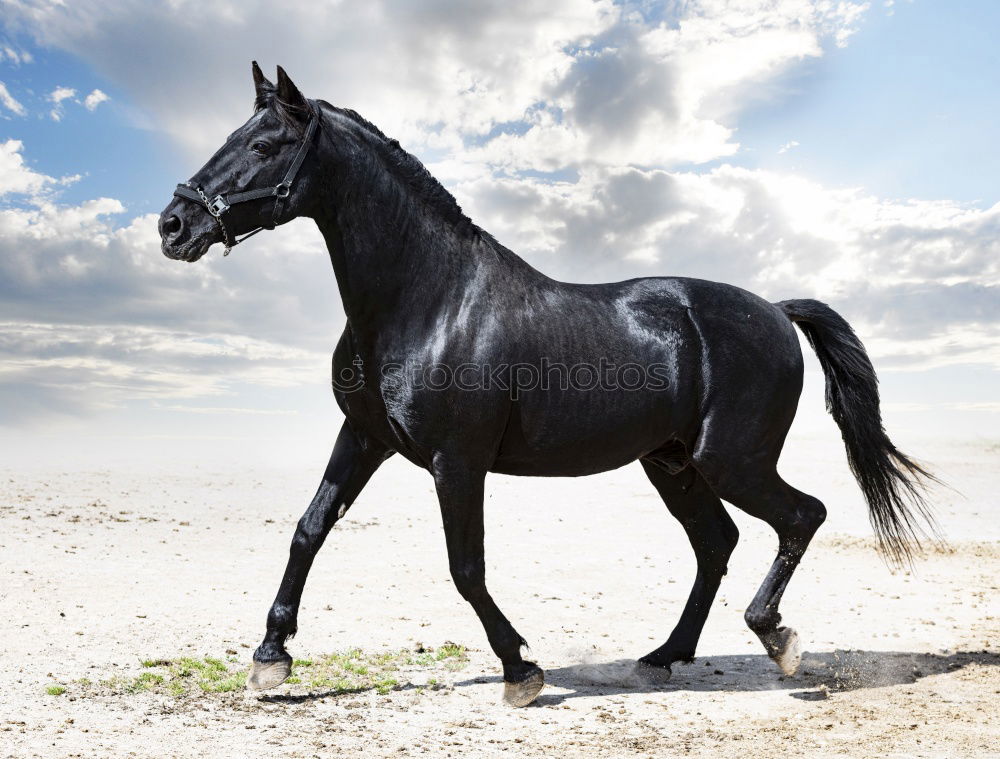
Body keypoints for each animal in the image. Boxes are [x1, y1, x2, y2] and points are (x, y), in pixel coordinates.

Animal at [156, 63, 936, 708]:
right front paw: (269, 658)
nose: (174, 224)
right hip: (672, 463)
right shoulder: (366, 436)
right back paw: (664, 656)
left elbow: (466, 567)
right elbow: (308, 530)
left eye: (265, 145)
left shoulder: (457, 461)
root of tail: (775, 309)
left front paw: (520, 670)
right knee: (717, 541)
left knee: (800, 516)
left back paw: (776, 638)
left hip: (731, 458)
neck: (430, 298)